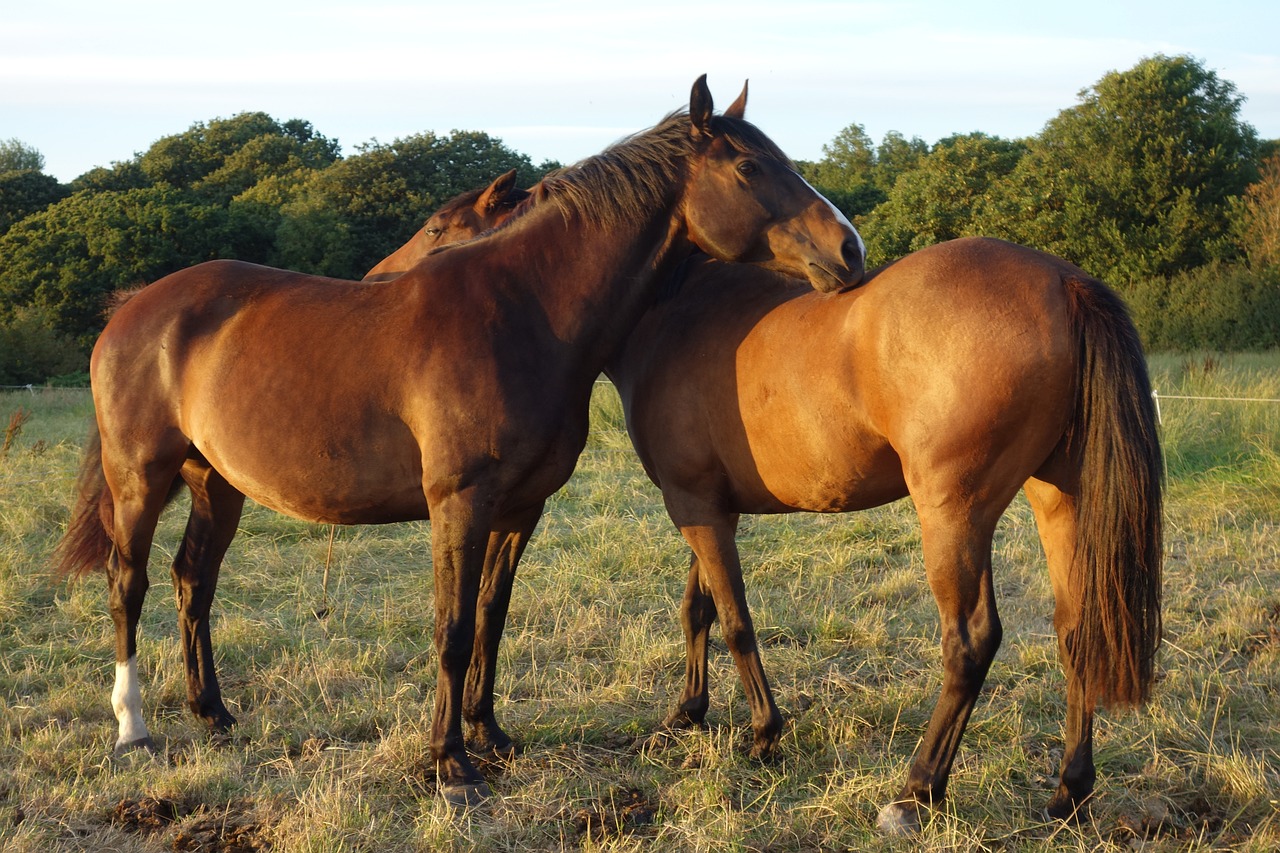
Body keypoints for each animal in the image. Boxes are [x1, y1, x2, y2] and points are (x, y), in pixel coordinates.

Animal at [55, 78, 865, 804]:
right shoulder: (459, 502)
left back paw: (214, 713)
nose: (850, 250)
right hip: (140, 479)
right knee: (128, 584)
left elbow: (489, 619)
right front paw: (449, 764)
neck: (525, 310)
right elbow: (451, 625)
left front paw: (489, 736)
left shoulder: (519, 509)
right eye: (749, 168)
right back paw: (133, 731)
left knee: (194, 580)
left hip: (215, 484)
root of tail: (133, 308)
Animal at [604, 240, 1167, 829]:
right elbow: (700, 608)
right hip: (1060, 500)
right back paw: (1068, 793)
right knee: (1077, 631)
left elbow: (735, 622)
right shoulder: (709, 509)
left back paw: (919, 789)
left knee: (971, 642)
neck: (674, 311)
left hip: (953, 516)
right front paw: (687, 712)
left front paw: (763, 735)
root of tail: (1062, 280)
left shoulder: (694, 506)